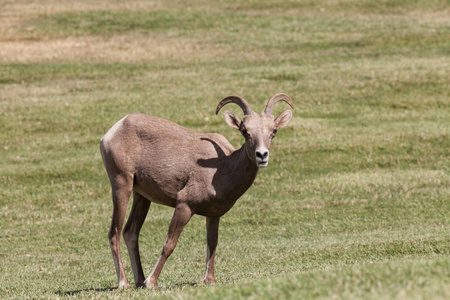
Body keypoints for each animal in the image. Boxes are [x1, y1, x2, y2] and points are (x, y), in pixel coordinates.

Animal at [100, 93, 294, 288]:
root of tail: (113, 131)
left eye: (273, 131)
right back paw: (124, 283)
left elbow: (212, 243)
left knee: (130, 232)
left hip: (141, 196)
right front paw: (152, 282)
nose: (261, 155)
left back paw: (139, 281)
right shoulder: (184, 205)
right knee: (114, 233)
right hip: (122, 184)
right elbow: (169, 244)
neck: (223, 167)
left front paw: (209, 280)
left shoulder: (214, 215)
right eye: (245, 131)